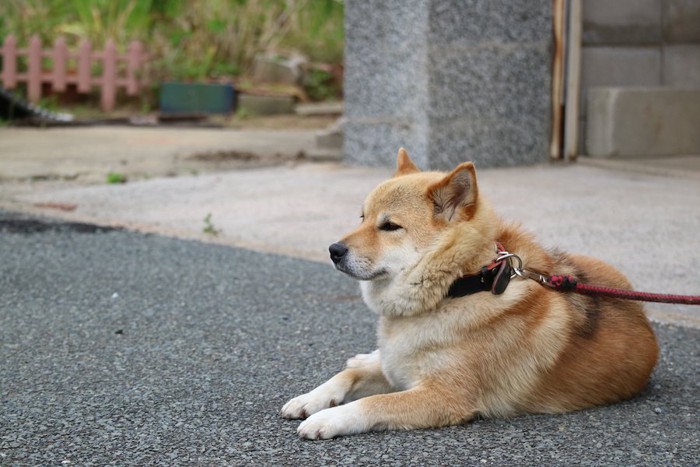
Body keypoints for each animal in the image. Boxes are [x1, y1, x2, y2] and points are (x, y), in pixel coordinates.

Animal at [278, 149, 656, 438]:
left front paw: (328, 418)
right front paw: (311, 399)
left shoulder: (445, 396)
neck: (459, 287)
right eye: (362, 217)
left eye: (389, 226)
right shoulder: (398, 370)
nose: (333, 250)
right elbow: (349, 376)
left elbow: (373, 403)